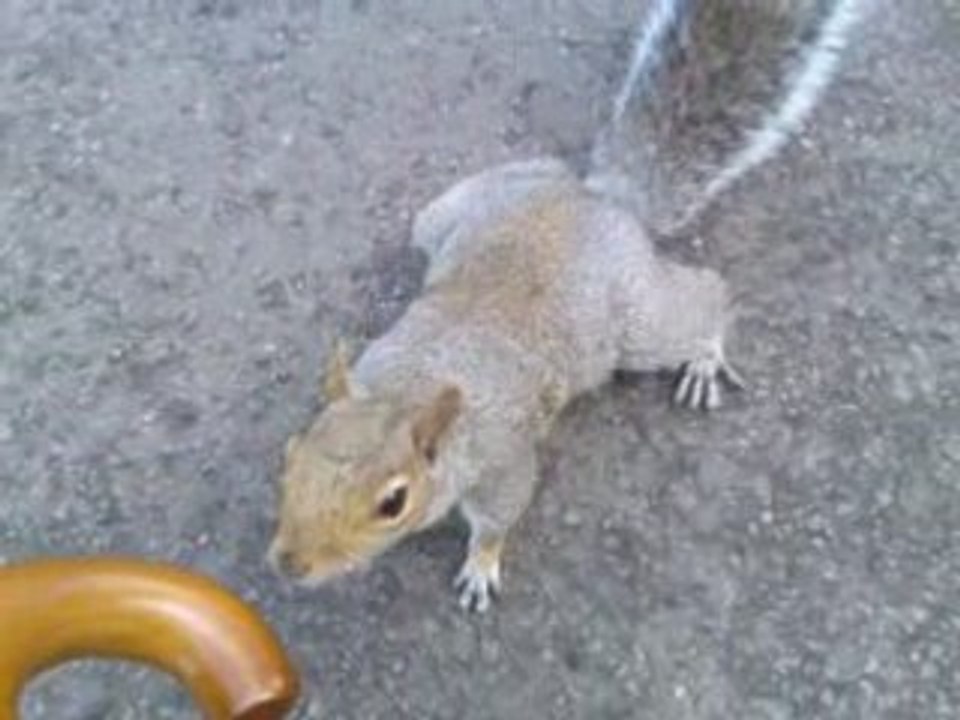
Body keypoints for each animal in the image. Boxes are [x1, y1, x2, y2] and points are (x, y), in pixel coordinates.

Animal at [268, 0, 867, 612]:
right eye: (292, 455)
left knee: (703, 295)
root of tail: (600, 198)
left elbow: (500, 515)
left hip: (640, 320)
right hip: (456, 209)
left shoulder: (503, 458)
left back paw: (704, 357)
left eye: (393, 502)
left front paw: (481, 564)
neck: (408, 388)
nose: (289, 564)